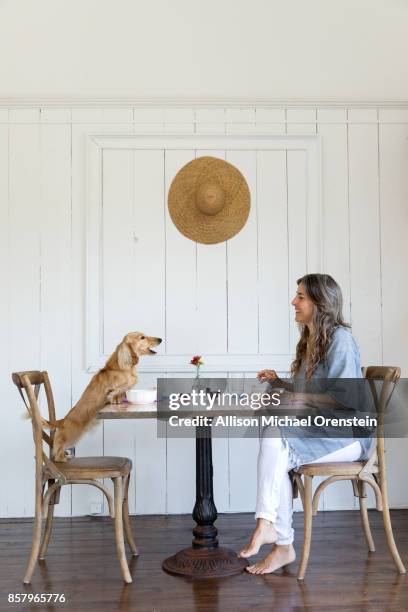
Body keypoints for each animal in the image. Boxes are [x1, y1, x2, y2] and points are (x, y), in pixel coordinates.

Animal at [46, 332, 161, 462]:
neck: (121, 368)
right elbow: (119, 389)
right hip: (71, 435)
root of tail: (62, 421)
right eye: (142, 337)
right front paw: (116, 396)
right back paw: (63, 457)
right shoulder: (117, 386)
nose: (160, 339)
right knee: (58, 450)